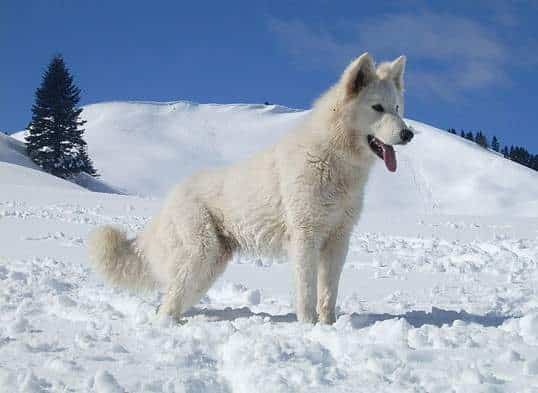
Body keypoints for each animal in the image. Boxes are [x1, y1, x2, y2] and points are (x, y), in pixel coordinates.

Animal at [88, 51, 410, 322]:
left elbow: (328, 295)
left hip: (209, 266)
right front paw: (308, 327)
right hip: (200, 255)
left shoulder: (337, 241)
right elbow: (307, 294)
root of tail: (171, 198)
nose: (408, 134)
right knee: (167, 304)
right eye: (377, 107)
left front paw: (328, 327)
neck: (332, 159)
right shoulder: (305, 238)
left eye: (396, 108)